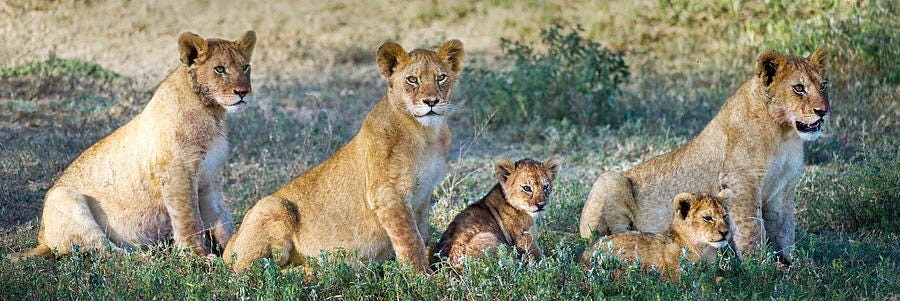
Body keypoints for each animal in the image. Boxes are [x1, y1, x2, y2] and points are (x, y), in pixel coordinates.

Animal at [9, 30, 256, 260]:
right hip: (62, 196)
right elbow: (189, 218)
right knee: (106, 251)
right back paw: (149, 257)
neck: (212, 112)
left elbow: (220, 217)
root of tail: (43, 240)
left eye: (245, 67)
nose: (243, 92)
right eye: (220, 69)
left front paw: (233, 247)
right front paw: (198, 256)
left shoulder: (208, 176)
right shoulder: (178, 172)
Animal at [222, 38, 468, 270]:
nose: (431, 101)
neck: (426, 134)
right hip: (272, 206)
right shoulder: (387, 194)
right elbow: (410, 240)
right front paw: (422, 276)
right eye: (412, 79)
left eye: (441, 77)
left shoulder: (424, 194)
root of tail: (227, 248)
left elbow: (422, 232)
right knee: (253, 272)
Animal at [428, 156, 556, 266]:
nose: (541, 205)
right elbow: (539, 257)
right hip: (490, 238)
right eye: (527, 188)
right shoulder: (524, 239)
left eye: (545, 187)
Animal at [584, 45, 828, 264]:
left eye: (824, 86)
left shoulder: (783, 188)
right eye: (799, 88)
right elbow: (751, 229)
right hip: (609, 179)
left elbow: (785, 229)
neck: (784, 133)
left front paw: (798, 263)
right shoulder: (742, 182)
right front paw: (760, 266)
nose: (823, 111)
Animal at [584, 191, 732, 280]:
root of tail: (583, 257)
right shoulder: (680, 278)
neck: (705, 249)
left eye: (725, 216)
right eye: (708, 218)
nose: (725, 232)